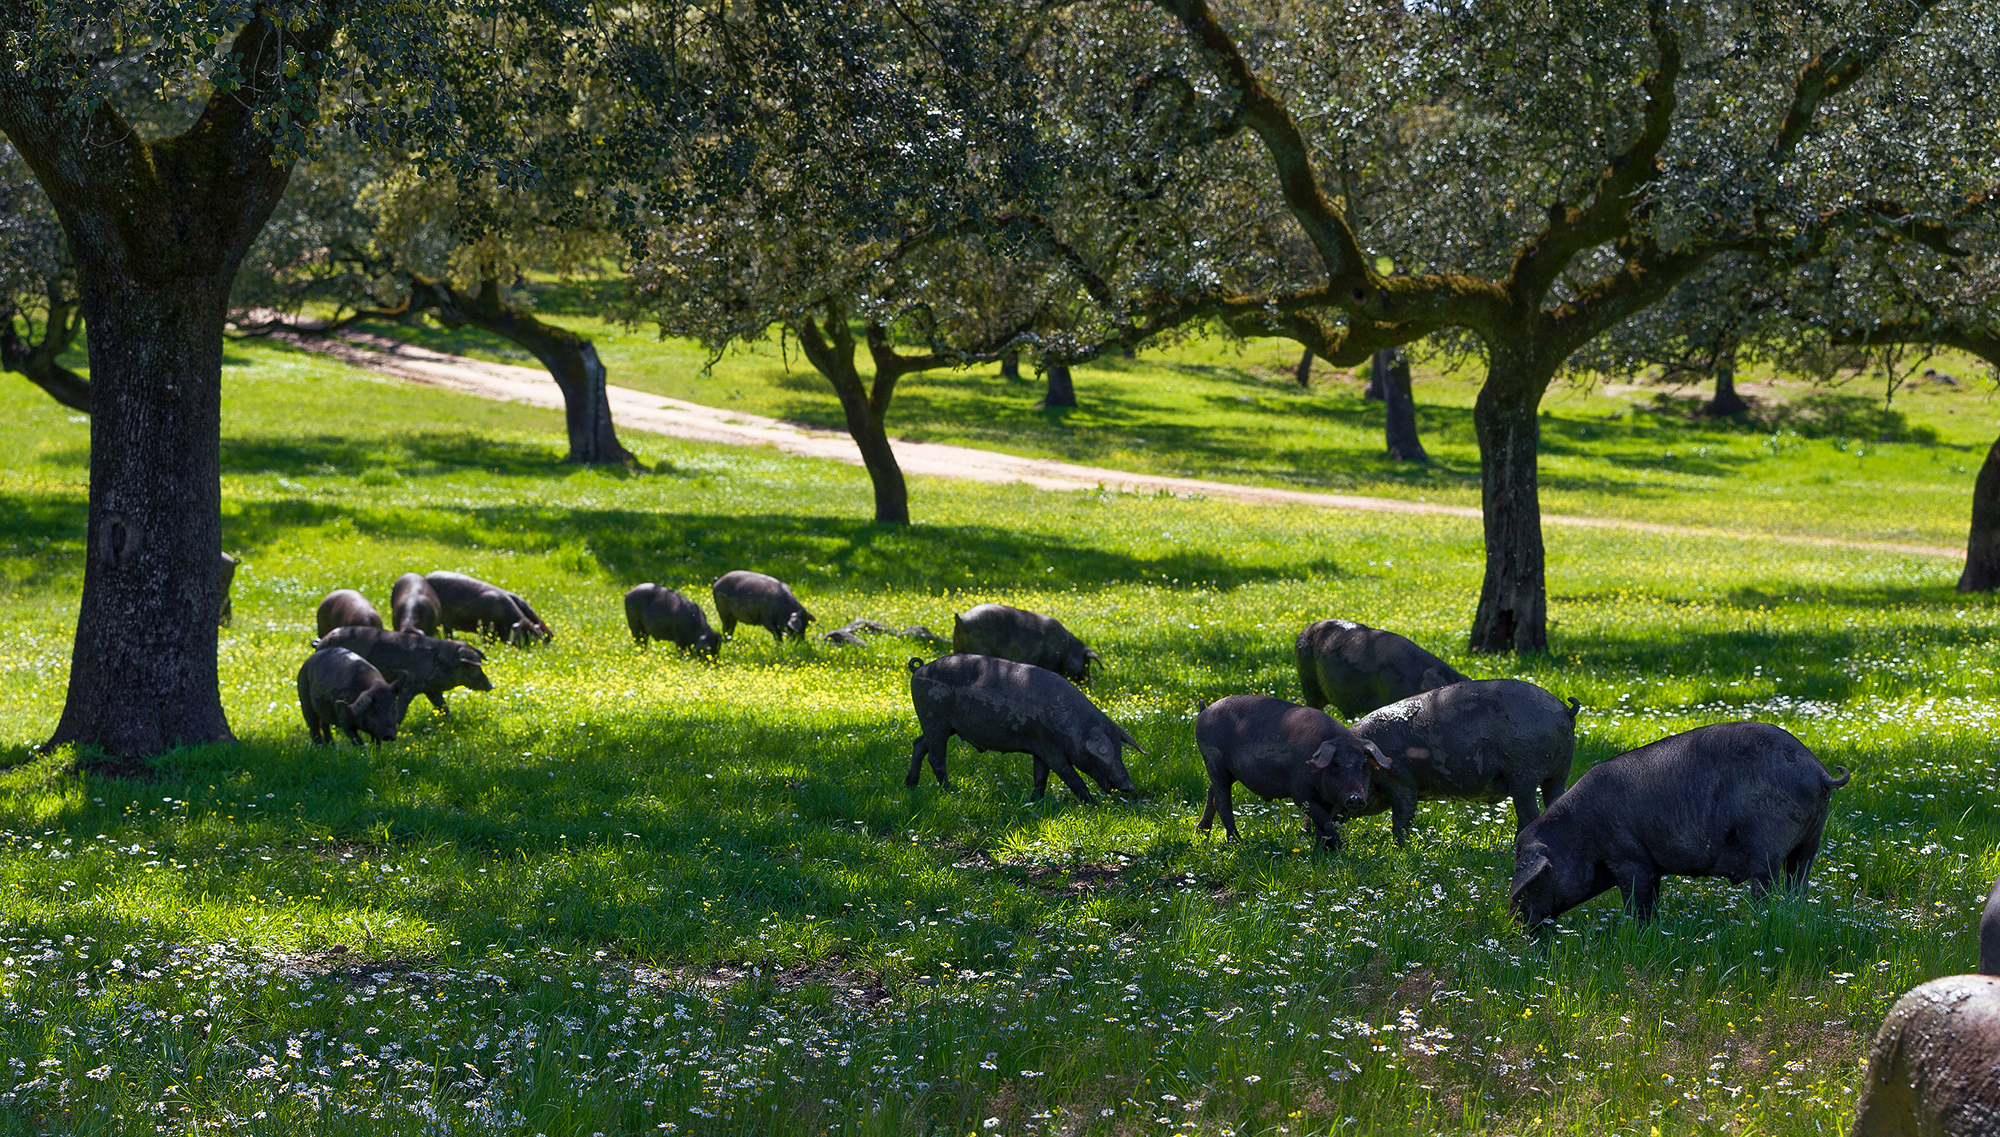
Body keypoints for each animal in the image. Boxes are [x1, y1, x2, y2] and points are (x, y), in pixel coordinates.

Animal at [320, 624, 496, 716]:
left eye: (480, 662)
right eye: (474, 666)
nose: (491, 686)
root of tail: (323, 642)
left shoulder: (432, 690)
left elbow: (442, 706)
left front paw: (450, 721)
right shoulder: (409, 685)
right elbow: (401, 709)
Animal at [908, 652, 1144, 804]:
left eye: (1120, 750)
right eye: (1102, 752)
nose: (1129, 786)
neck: (1072, 725)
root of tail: (919, 668)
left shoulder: (1040, 748)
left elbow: (1040, 776)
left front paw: (1035, 801)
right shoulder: (1051, 749)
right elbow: (1070, 777)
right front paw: (1092, 804)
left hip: (940, 726)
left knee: (918, 744)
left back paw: (910, 784)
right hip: (934, 720)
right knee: (936, 758)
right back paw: (950, 792)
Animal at [1328, 680, 1576, 848]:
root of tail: (1565, 709)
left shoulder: (1402, 782)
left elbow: (1401, 818)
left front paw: (1399, 849)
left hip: (1524, 775)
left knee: (1529, 813)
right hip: (1559, 772)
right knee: (1556, 800)